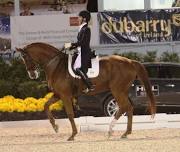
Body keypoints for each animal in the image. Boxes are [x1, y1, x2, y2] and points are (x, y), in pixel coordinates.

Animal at [16, 42, 155, 141]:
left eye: (25, 57)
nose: (32, 75)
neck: (55, 65)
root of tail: (130, 61)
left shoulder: (65, 95)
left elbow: (70, 114)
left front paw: (72, 135)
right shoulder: (58, 94)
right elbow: (46, 106)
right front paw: (55, 127)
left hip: (117, 90)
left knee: (124, 107)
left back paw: (111, 131)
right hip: (122, 90)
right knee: (129, 108)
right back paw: (125, 133)